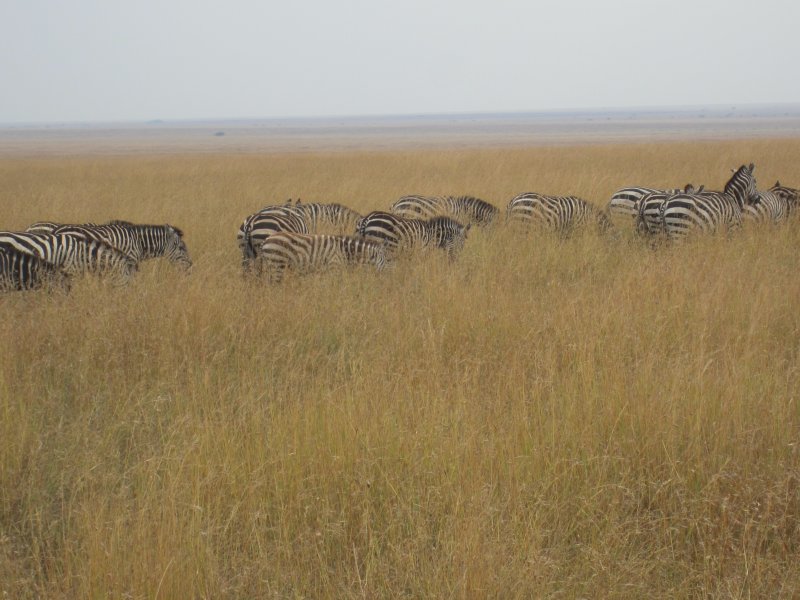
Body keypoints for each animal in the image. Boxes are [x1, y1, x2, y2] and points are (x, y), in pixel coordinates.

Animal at [256, 232, 390, 284]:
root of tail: (266, 240)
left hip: (272, 266)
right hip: (277, 264)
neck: (344, 250)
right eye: (387, 260)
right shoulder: (334, 267)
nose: (389, 277)